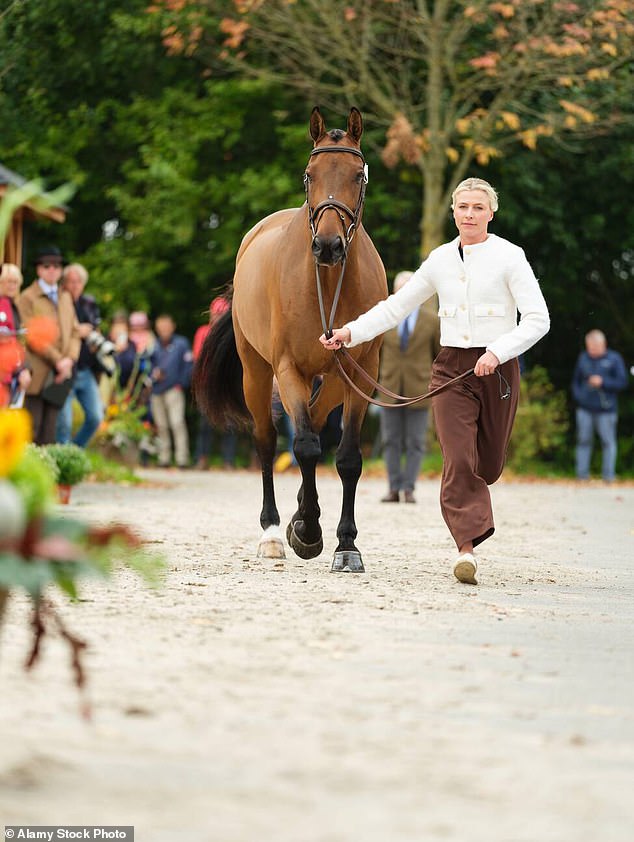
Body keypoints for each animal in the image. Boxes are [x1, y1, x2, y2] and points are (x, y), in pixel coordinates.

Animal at [194, 108, 386, 572]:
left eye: (357, 175)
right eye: (309, 175)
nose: (329, 246)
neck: (328, 285)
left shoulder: (360, 375)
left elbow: (347, 457)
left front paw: (345, 544)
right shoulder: (289, 369)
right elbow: (304, 446)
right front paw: (310, 532)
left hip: (330, 379)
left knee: (314, 421)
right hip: (257, 374)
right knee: (268, 441)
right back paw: (272, 531)